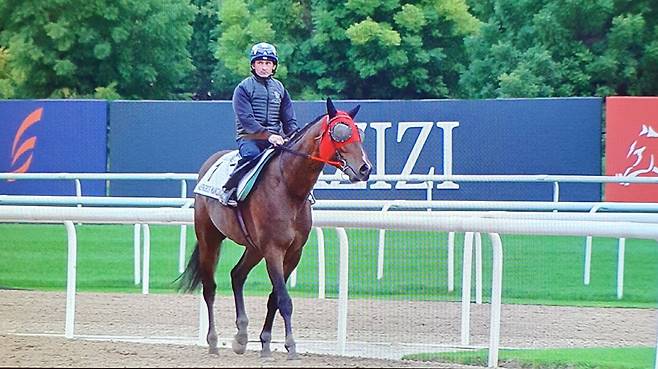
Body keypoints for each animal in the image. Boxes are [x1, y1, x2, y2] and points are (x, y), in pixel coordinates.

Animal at [177, 96, 372, 358]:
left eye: (359, 133)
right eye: (340, 133)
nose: (365, 168)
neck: (289, 188)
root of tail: (209, 165)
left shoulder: (293, 253)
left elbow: (274, 298)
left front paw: (266, 343)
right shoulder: (273, 249)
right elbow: (284, 300)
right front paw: (291, 346)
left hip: (253, 247)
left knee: (237, 275)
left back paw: (241, 336)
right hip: (210, 237)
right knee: (209, 287)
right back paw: (213, 342)